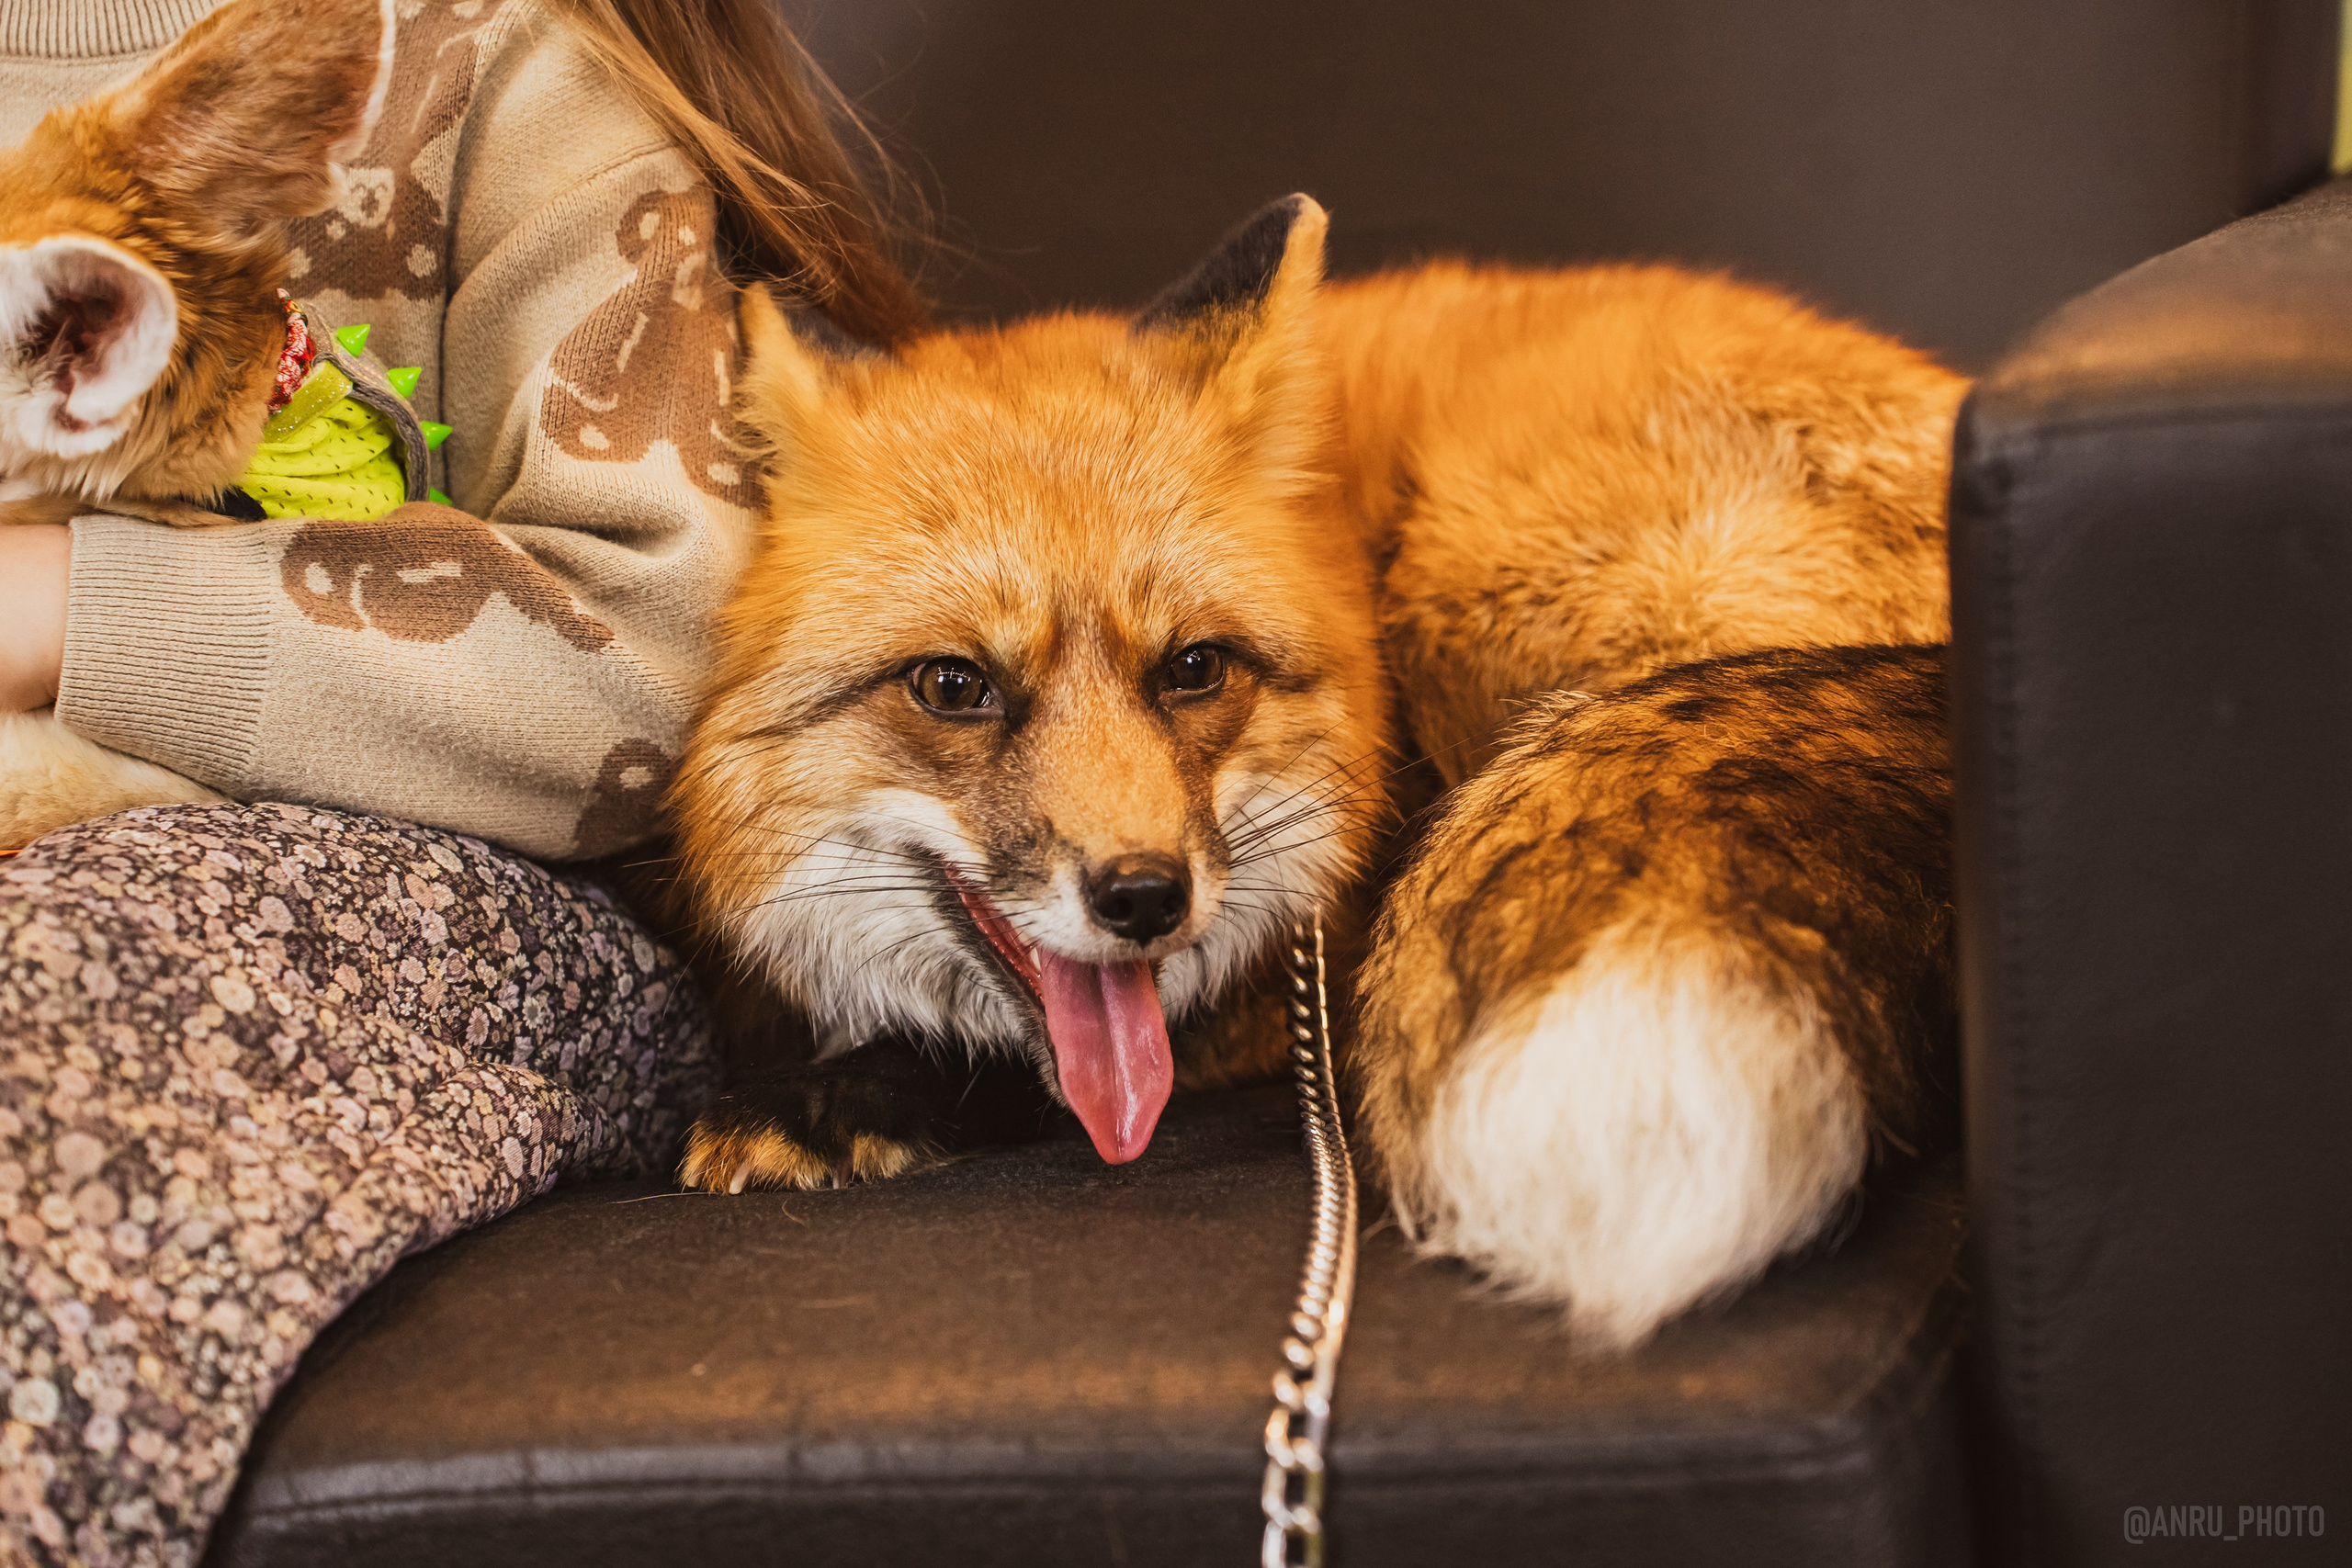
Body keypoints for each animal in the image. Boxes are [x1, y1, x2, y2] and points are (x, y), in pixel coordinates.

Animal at [673, 194, 1965, 1347]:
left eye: (1194, 668)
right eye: (953, 686)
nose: (1145, 897)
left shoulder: (1311, 953)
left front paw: (839, 1102)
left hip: (1473, 578)